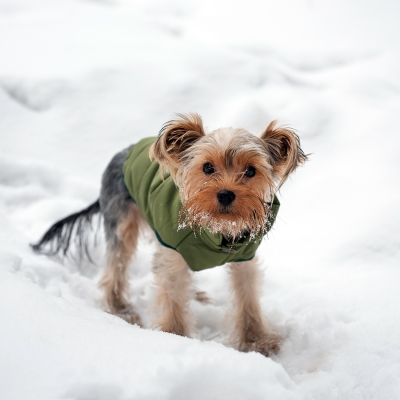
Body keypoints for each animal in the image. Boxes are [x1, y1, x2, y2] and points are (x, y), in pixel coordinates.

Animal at [32, 112, 306, 356]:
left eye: (250, 171)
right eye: (207, 168)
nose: (226, 194)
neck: (217, 229)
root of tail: (125, 152)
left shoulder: (244, 255)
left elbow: (247, 295)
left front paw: (256, 341)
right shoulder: (173, 249)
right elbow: (172, 290)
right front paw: (175, 338)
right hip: (122, 219)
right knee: (115, 267)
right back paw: (121, 309)